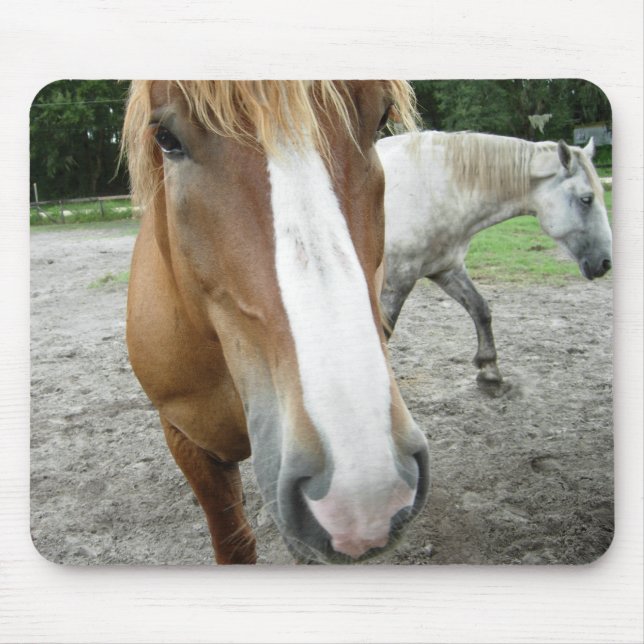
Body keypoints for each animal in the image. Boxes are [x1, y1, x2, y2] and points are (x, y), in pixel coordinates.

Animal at [377, 130, 612, 390]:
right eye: (586, 199)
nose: (605, 262)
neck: (430, 188)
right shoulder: (397, 280)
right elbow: (383, 332)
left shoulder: (446, 269)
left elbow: (480, 309)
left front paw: (489, 370)